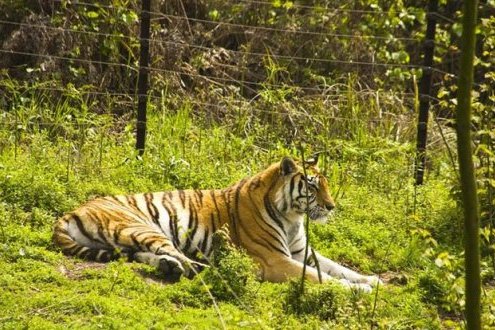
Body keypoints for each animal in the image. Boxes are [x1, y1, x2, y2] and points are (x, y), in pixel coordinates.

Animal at [54, 157, 382, 292]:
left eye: (326, 184)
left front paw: (373, 281)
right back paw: (212, 269)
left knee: (147, 255)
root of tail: (69, 212)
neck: (292, 216)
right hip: (143, 226)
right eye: (313, 186)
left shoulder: (301, 251)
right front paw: (360, 290)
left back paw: (170, 268)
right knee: (183, 259)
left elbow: (338, 267)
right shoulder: (275, 260)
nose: (331, 207)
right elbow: (318, 276)